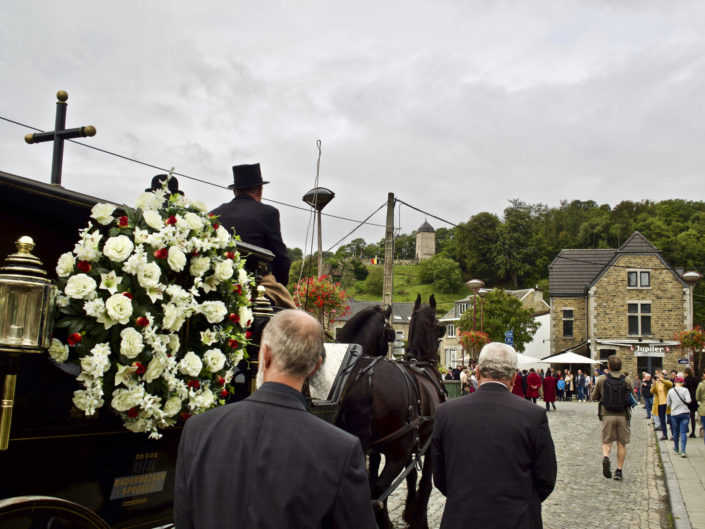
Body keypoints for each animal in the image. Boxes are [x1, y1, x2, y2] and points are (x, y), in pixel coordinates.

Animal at [336, 294, 446, 528]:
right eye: (438, 325)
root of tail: (367, 380)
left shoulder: (394, 447)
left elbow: (411, 476)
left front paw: (408, 512)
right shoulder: (428, 445)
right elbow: (425, 483)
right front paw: (419, 519)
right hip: (398, 450)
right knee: (378, 489)